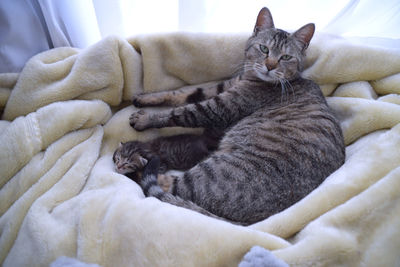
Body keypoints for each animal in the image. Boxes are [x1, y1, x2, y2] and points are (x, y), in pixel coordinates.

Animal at [128, 7, 344, 226]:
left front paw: (146, 119)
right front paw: (146, 98)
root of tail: (254, 223)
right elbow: (181, 93)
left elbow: (182, 112)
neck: (250, 78)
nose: (270, 65)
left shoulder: (221, 106)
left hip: (214, 172)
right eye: (264, 49)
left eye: (285, 57)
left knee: (163, 183)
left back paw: (133, 163)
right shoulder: (224, 87)